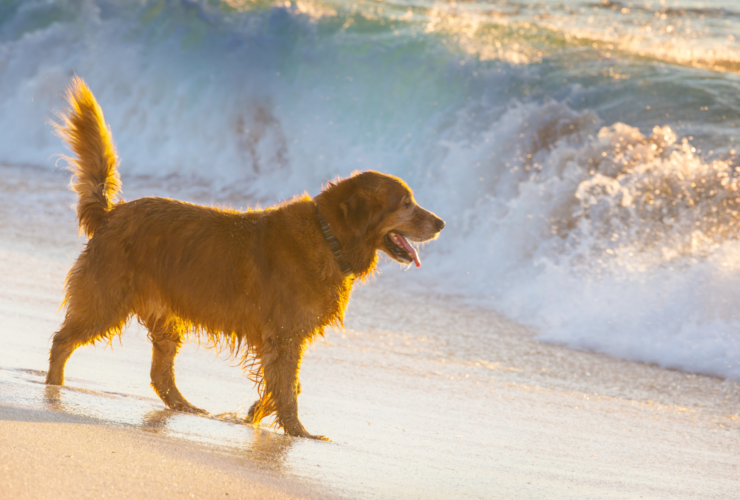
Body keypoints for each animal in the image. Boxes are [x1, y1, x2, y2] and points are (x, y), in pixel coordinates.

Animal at [46, 76, 446, 440]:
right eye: (406, 204)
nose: (442, 223)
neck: (327, 235)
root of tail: (112, 214)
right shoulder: (284, 335)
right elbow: (288, 389)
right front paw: (298, 432)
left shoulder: (283, 338)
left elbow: (285, 385)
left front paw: (256, 413)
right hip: (106, 301)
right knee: (62, 341)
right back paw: (53, 388)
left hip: (165, 317)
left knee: (160, 375)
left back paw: (187, 407)